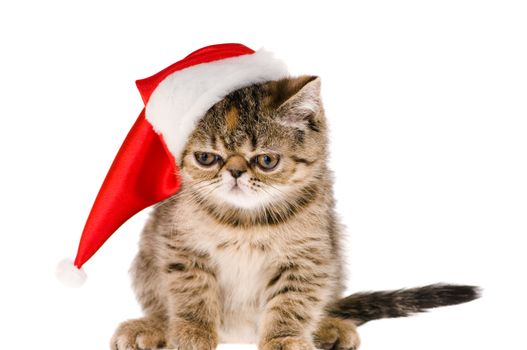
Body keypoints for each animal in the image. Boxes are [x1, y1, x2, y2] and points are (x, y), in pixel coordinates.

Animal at [110, 75, 478, 348]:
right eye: (206, 158)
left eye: (266, 160)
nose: (235, 171)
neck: (244, 222)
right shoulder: (181, 248)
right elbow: (191, 296)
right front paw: (190, 334)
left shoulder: (309, 256)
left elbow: (293, 303)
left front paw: (285, 339)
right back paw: (152, 328)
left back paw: (332, 327)